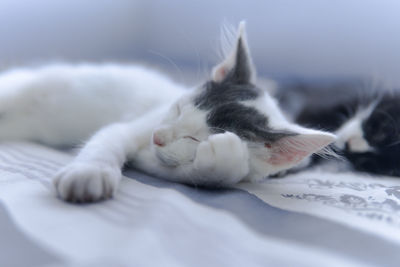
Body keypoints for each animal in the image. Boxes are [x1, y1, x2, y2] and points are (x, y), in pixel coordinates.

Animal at [0, 22, 334, 203]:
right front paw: (89, 172)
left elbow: (200, 175)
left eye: (194, 139)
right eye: (178, 109)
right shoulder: (142, 123)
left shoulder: (156, 160)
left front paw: (225, 158)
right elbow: (109, 139)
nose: (158, 137)